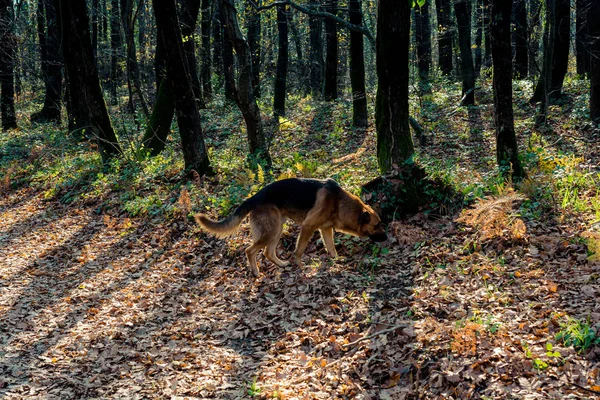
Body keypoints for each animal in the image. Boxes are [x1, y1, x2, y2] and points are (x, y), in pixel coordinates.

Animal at [195, 177, 386, 276]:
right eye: (377, 225)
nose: (387, 237)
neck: (339, 203)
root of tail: (253, 197)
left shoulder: (325, 229)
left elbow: (331, 248)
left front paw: (336, 261)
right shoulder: (308, 227)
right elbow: (299, 251)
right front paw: (301, 267)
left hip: (277, 230)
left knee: (268, 252)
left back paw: (281, 264)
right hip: (270, 231)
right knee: (250, 250)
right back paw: (256, 272)